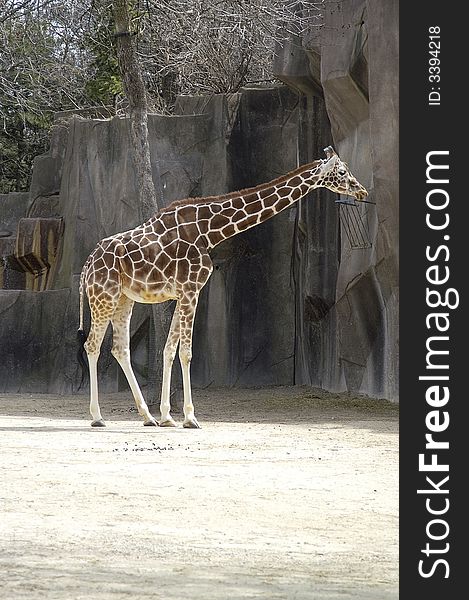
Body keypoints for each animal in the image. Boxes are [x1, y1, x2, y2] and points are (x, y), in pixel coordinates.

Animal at [78, 145, 368, 426]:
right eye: (342, 172)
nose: (362, 190)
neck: (209, 232)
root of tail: (86, 266)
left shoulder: (183, 293)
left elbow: (169, 350)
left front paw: (167, 416)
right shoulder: (190, 290)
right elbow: (186, 352)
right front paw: (190, 418)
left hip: (123, 300)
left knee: (120, 349)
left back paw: (147, 417)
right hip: (103, 297)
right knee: (91, 345)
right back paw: (97, 417)